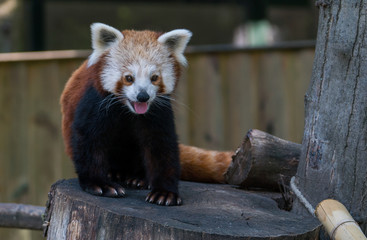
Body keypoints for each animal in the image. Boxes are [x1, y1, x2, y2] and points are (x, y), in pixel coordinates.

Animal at [60, 23, 233, 206]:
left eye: (154, 77)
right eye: (129, 78)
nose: (143, 96)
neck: (128, 110)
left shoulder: (158, 111)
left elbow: (161, 146)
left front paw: (165, 191)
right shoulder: (95, 103)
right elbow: (89, 140)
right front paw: (100, 184)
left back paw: (139, 178)